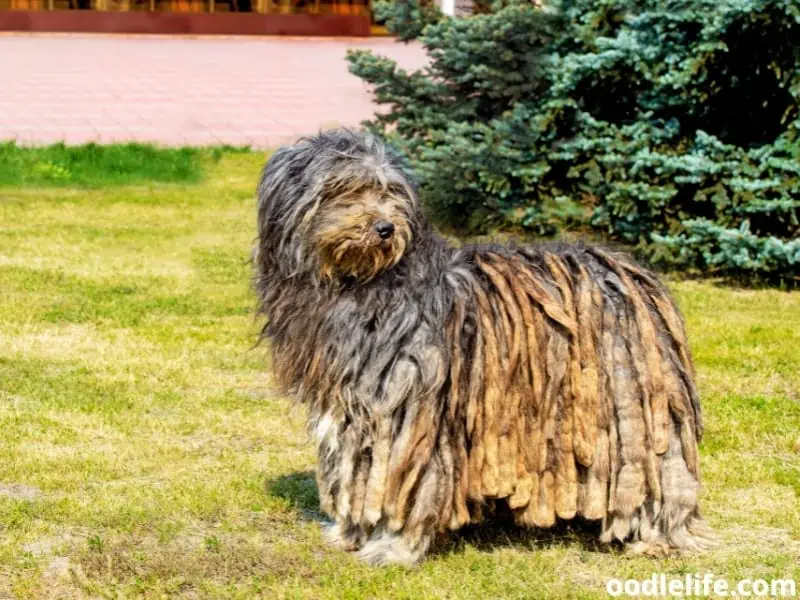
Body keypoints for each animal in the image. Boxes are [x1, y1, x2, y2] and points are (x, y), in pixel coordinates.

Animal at [252, 129, 712, 564]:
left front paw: (393, 546)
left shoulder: (411, 406)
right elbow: (356, 471)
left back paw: (656, 536)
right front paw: (349, 533)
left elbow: (407, 483)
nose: (385, 228)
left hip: (635, 408)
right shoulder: (352, 405)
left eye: (390, 191)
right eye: (344, 188)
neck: (362, 283)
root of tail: (634, 275)